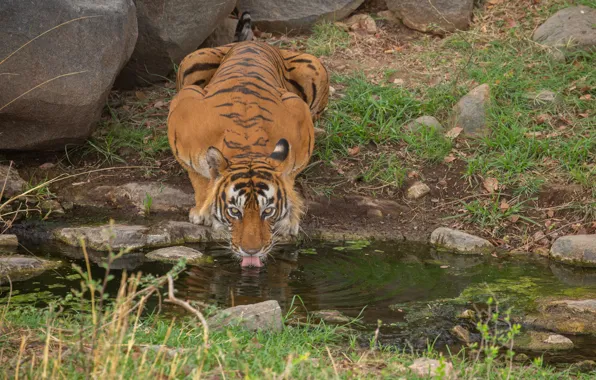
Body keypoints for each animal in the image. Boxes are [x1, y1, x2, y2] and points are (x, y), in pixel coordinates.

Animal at [168, 39, 328, 268]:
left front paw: (289, 220)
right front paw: (202, 212)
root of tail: (252, 41)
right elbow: (198, 177)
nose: (251, 251)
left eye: (267, 211)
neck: (247, 149)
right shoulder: (183, 107)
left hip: (315, 67)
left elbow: (289, 175)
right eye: (235, 211)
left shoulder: (299, 112)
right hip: (191, 61)